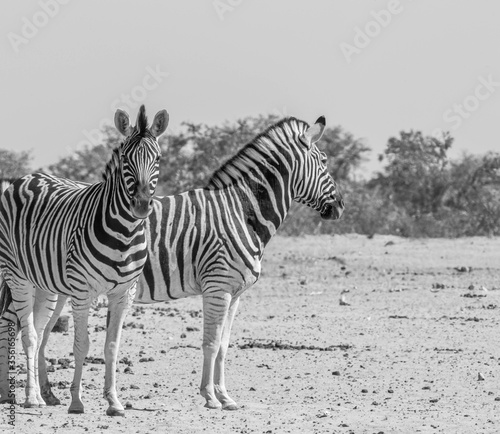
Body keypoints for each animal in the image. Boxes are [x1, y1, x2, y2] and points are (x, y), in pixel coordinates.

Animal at [0, 103, 169, 416]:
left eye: (159, 158)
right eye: (125, 158)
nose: (141, 205)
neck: (124, 233)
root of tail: (27, 177)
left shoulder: (123, 294)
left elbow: (111, 347)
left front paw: (114, 402)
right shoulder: (82, 291)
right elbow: (81, 345)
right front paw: (77, 402)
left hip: (46, 285)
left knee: (37, 332)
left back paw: (40, 394)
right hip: (17, 276)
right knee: (24, 333)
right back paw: (26, 397)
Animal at [14, 114, 344, 410]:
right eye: (324, 160)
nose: (340, 207)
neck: (240, 211)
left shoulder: (235, 293)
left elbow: (224, 345)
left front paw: (226, 397)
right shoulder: (217, 287)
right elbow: (210, 343)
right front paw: (210, 397)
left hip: (55, 285)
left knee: (41, 333)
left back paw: (47, 395)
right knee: (31, 331)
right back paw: (33, 397)